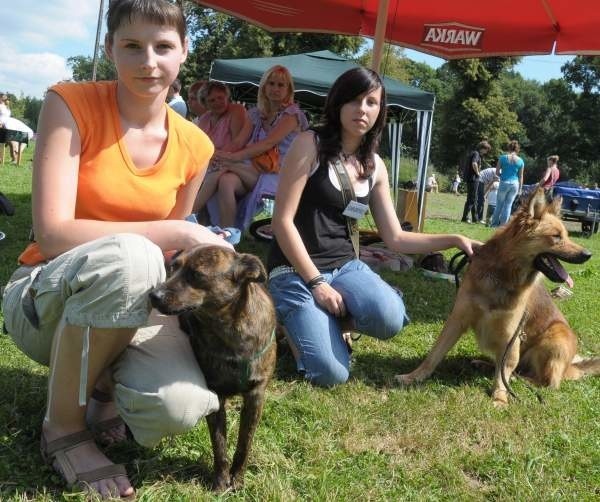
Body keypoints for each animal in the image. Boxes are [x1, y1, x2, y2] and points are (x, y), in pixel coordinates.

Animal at [149, 245, 276, 492]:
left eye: (196, 275)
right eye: (173, 267)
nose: (153, 295)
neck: (229, 331)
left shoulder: (256, 396)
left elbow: (244, 444)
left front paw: (237, 479)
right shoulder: (215, 396)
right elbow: (220, 446)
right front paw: (220, 482)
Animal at [396, 186, 596, 406]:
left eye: (566, 235)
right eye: (557, 236)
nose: (588, 255)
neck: (503, 274)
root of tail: (570, 367)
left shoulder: (511, 335)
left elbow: (504, 370)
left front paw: (500, 397)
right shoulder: (457, 320)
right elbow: (435, 353)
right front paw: (414, 376)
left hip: (556, 336)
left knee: (545, 382)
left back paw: (519, 380)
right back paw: (485, 365)